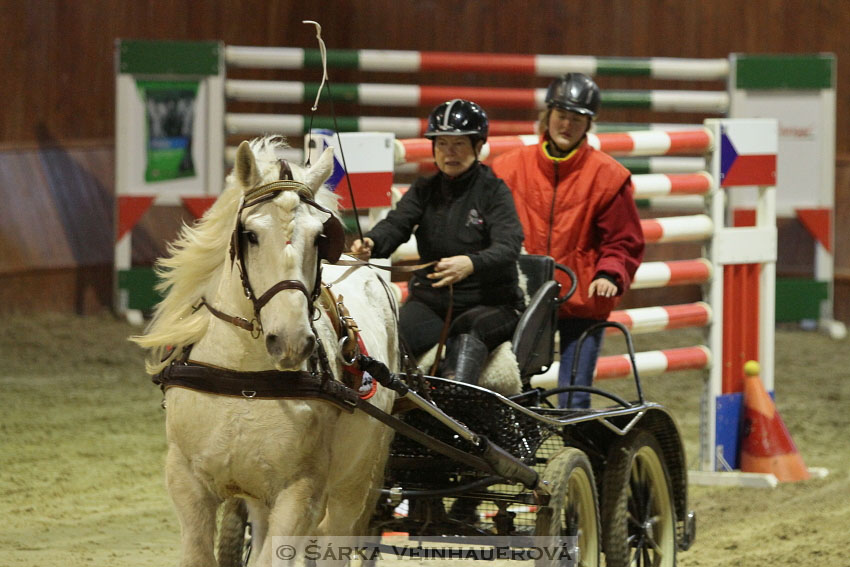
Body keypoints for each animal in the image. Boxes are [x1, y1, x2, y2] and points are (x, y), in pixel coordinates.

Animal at [132, 138, 398, 567]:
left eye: (320, 237)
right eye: (250, 234)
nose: (291, 341)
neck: (245, 378)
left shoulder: (300, 492)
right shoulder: (187, 481)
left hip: (356, 481)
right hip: (260, 494)